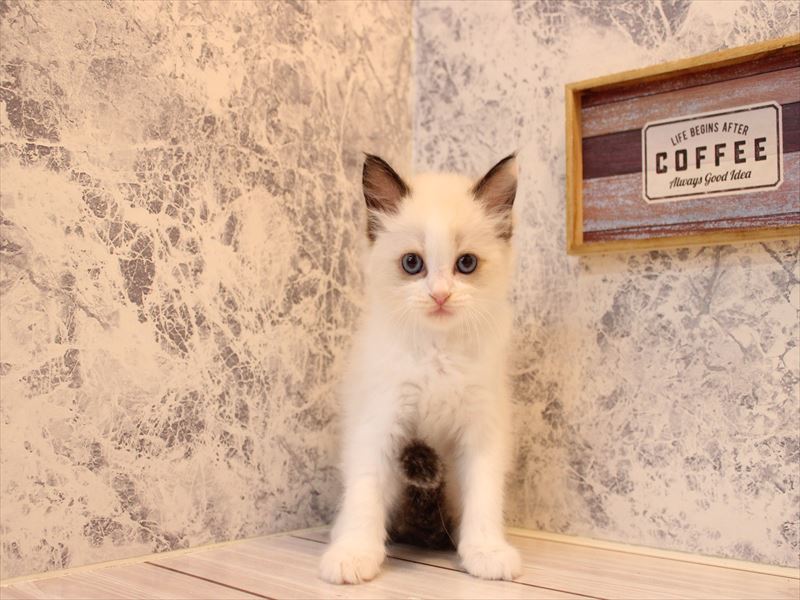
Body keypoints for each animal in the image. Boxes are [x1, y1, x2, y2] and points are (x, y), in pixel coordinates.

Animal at [319, 153, 521, 584]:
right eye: (412, 263)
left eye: (466, 264)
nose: (440, 295)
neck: (437, 352)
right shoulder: (380, 422)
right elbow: (365, 491)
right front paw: (354, 554)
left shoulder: (482, 428)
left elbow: (484, 493)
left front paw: (486, 551)